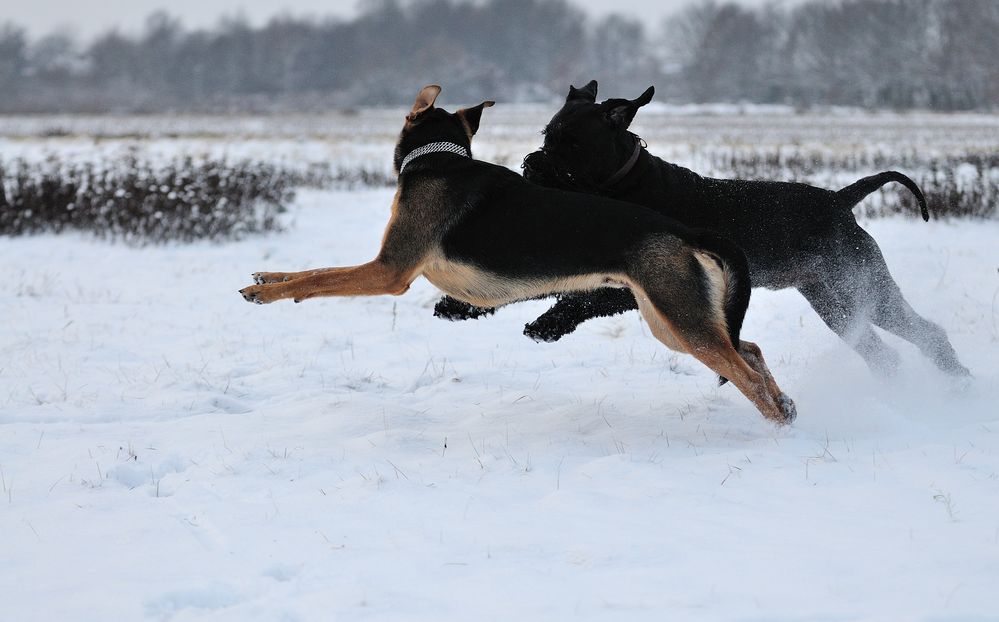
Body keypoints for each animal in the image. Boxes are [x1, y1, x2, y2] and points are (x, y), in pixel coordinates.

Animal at [238, 86, 800, 424]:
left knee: (746, 373)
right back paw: (786, 404)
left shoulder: (389, 270)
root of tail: (684, 229)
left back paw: (776, 427)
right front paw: (268, 278)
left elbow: (321, 279)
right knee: (750, 349)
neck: (439, 158)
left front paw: (266, 294)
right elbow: (313, 268)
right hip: (671, 317)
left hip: (677, 313)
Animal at [438, 80, 968, 378]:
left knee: (929, 334)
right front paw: (459, 306)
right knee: (884, 352)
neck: (627, 184)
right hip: (836, 303)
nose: (530, 166)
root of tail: (840, 200)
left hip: (866, 289)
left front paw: (548, 326)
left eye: (570, 144)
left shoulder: (636, 283)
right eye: (548, 135)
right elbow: (537, 285)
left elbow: (579, 300)